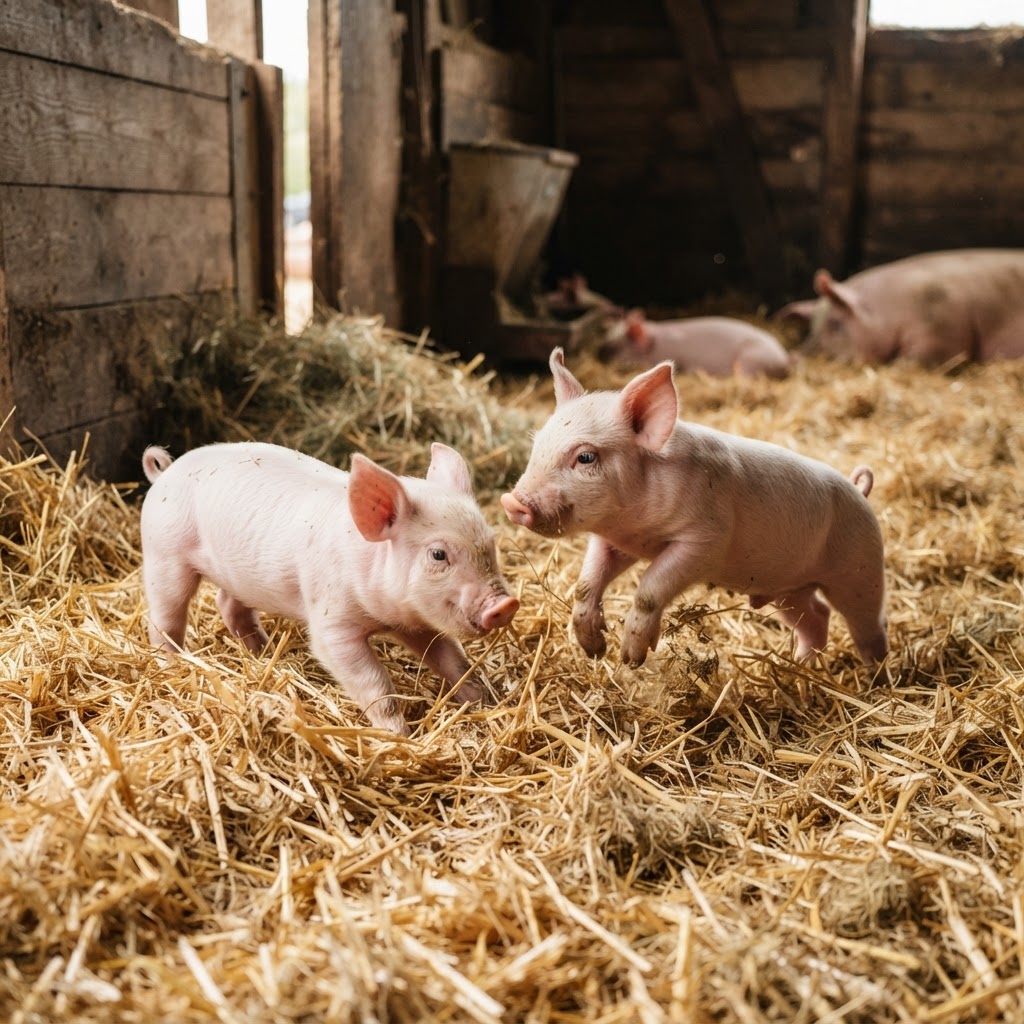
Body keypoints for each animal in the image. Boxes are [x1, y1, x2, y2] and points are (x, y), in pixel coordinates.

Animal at [140, 441, 519, 736]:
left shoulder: (417, 621)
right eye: (438, 554)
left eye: (490, 545)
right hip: (164, 554)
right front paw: (399, 736)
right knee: (164, 618)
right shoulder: (333, 622)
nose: (505, 605)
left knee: (229, 604)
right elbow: (372, 682)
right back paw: (172, 663)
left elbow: (452, 660)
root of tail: (165, 473)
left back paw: (264, 652)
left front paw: (487, 702)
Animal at [501, 349, 887, 668]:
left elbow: (650, 588)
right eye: (537, 443)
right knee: (817, 617)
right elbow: (585, 584)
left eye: (585, 457)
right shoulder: (614, 540)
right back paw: (800, 666)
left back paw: (876, 675)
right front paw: (594, 650)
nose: (512, 502)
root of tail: (859, 491)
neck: (635, 527)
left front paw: (631, 659)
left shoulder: (705, 540)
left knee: (868, 620)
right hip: (787, 588)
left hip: (859, 568)